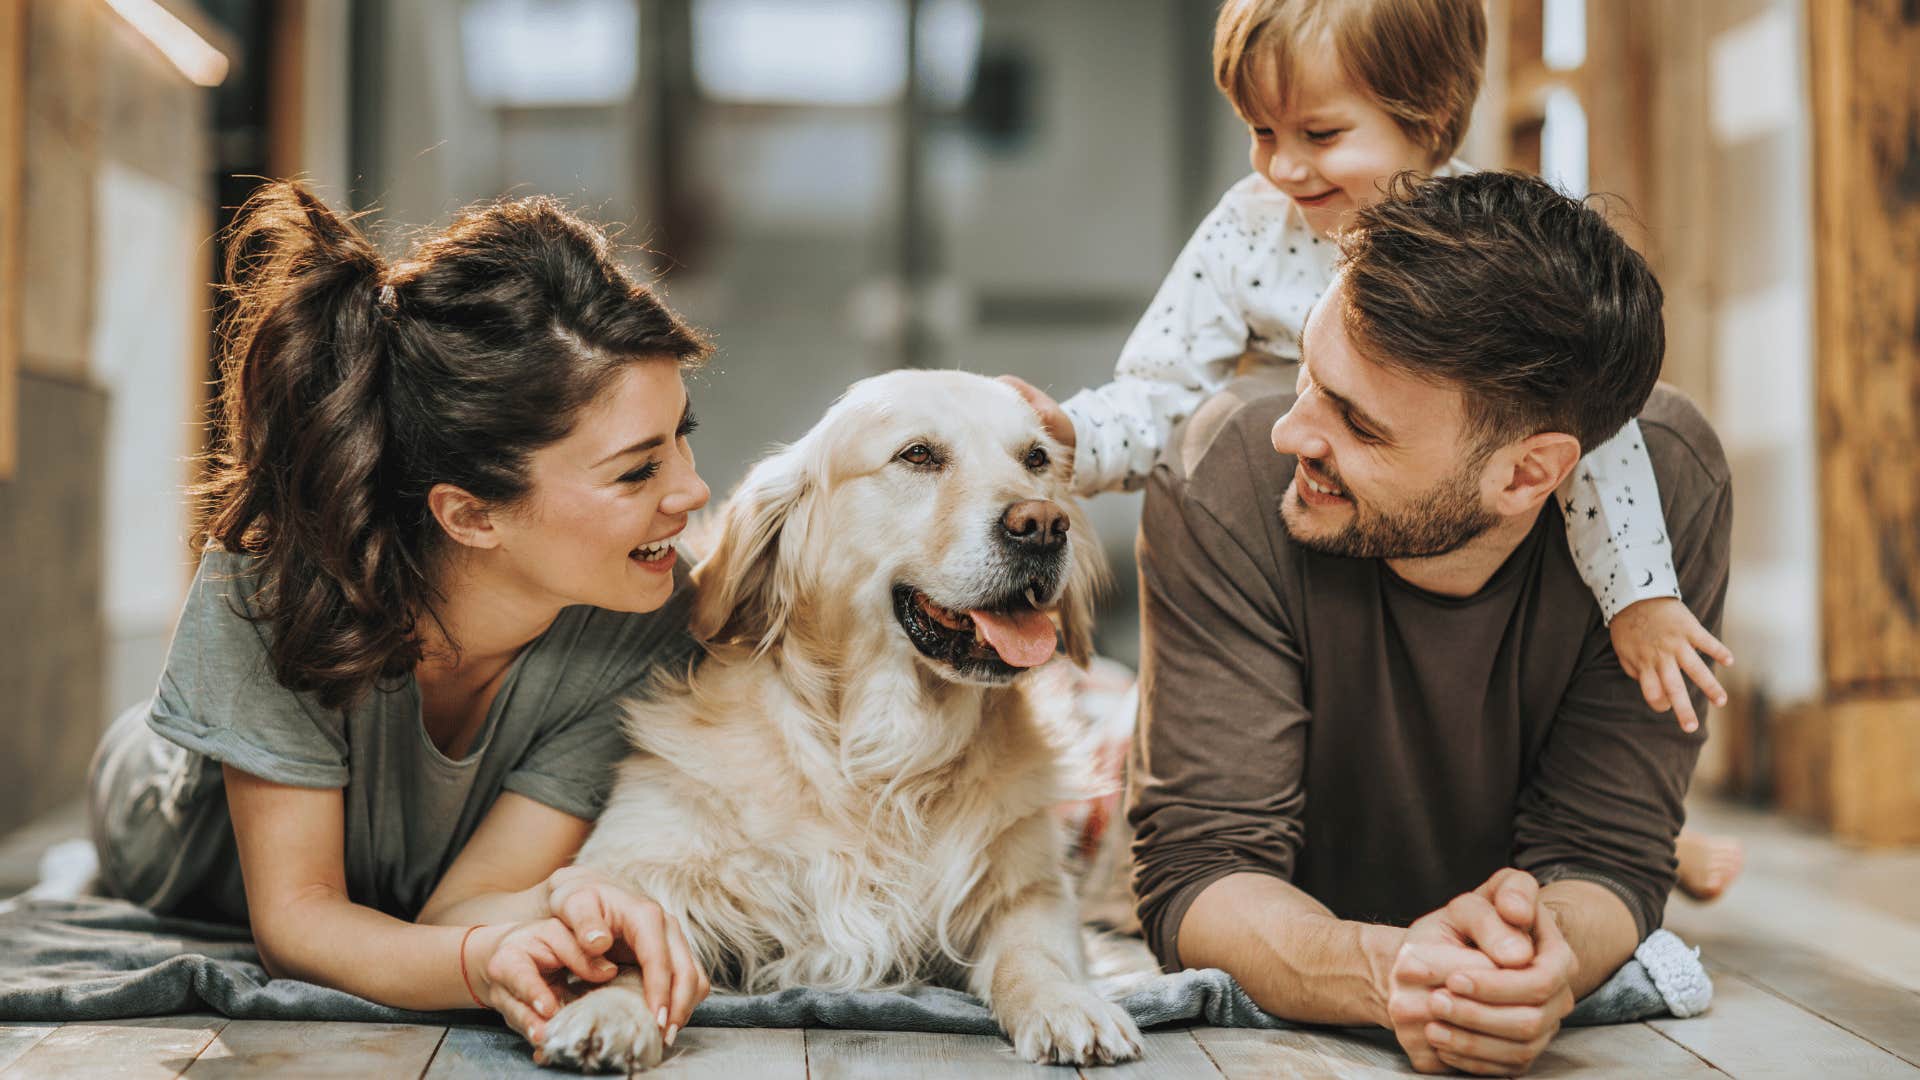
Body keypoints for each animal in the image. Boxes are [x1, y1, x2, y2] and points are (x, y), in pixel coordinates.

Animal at [533, 365, 1144, 1060]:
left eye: (1036, 459)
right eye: (917, 454)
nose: (1043, 523)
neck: (884, 757)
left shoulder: (1030, 888)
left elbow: (1034, 955)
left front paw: (1068, 1003)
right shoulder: (638, 861)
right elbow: (631, 939)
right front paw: (607, 1009)